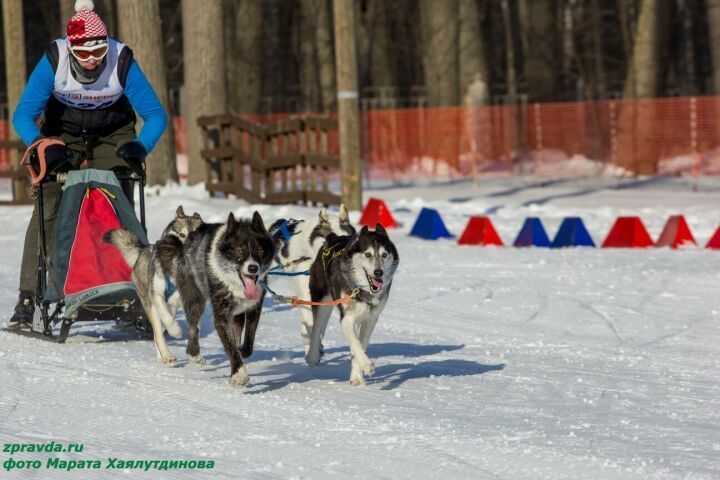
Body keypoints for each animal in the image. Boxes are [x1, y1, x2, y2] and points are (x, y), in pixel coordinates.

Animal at [102, 205, 202, 364]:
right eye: (182, 234)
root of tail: (143, 250)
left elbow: (191, 327)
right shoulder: (156, 295)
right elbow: (167, 320)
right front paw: (176, 331)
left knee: (158, 332)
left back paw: (163, 355)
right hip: (149, 303)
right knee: (158, 332)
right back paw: (166, 355)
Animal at [156, 212, 274, 384]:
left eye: (259, 249)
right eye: (239, 250)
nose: (253, 268)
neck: (235, 284)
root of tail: (184, 244)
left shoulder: (254, 307)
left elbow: (248, 343)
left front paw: (241, 353)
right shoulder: (221, 315)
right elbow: (231, 346)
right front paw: (239, 374)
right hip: (195, 300)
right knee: (193, 329)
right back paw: (194, 354)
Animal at [306, 225, 400, 386]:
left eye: (384, 254)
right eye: (367, 254)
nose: (378, 272)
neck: (363, 290)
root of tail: (332, 237)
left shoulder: (370, 320)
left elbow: (360, 345)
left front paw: (356, 377)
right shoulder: (347, 319)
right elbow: (356, 344)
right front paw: (367, 365)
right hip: (321, 301)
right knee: (316, 330)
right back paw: (312, 356)